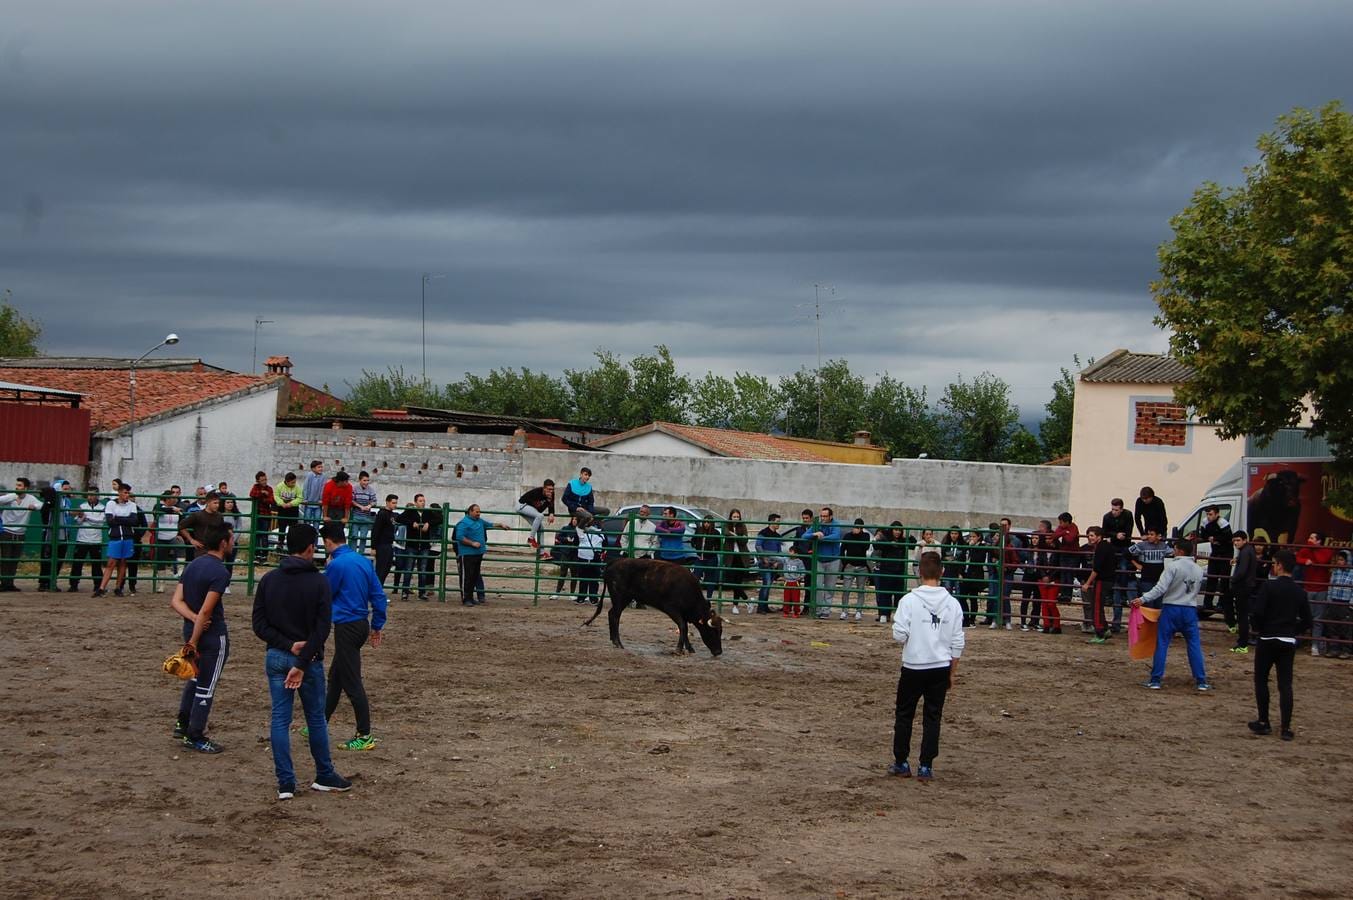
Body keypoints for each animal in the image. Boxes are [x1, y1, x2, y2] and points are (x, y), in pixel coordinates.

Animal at [584, 554, 725, 652]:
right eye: (713, 631)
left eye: (721, 631)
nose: (719, 652)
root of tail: (615, 562)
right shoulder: (671, 609)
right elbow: (682, 627)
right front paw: (679, 649)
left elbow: (684, 628)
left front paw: (689, 648)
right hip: (620, 598)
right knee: (614, 615)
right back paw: (618, 643)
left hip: (623, 599)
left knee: (612, 614)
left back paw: (614, 641)